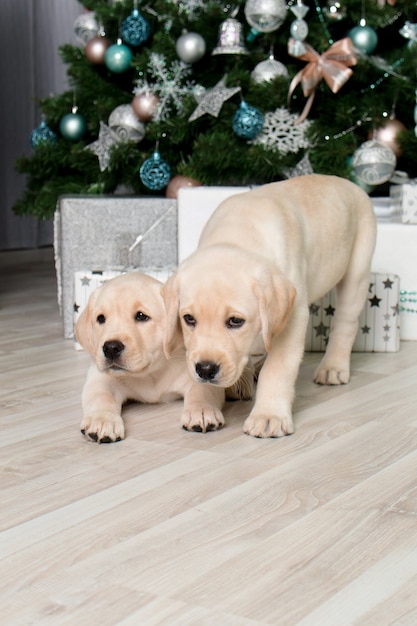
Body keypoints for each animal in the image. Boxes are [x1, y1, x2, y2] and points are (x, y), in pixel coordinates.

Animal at [76, 270, 244, 442]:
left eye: (141, 316)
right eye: (100, 318)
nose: (110, 348)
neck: (151, 373)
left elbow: (201, 389)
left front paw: (202, 410)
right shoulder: (100, 378)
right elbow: (101, 396)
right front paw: (102, 420)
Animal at [163, 173, 376, 436]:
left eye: (235, 321)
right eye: (189, 319)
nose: (205, 370)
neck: (238, 234)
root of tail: (345, 181)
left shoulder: (293, 317)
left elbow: (278, 368)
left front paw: (268, 415)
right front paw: (205, 404)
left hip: (357, 271)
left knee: (345, 323)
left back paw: (333, 367)